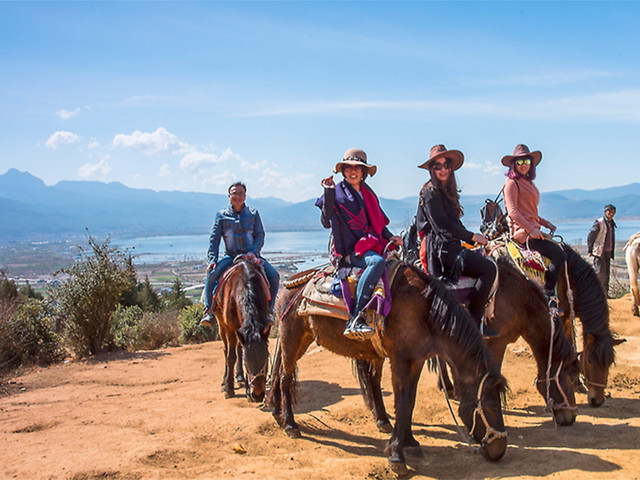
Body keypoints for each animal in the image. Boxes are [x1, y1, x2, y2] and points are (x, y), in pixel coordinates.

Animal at [215, 256, 272, 404]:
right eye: (247, 363)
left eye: (266, 360)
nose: (258, 395)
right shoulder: (230, 329)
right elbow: (231, 357)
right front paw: (229, 389)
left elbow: (240, 352)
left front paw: (247, 390)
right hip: (222, 326)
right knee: (226, 350)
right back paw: (225, 380)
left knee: (239, 349)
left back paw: (240, 377)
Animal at [268, 262, 508, 476]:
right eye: (490, 406)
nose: (499, 450)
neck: (425, 311)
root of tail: (290, 287)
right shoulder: (401, 360)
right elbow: (402, 402)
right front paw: (397, 456)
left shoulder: (416, 360)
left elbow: (410, 401)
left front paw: (409, 440)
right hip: (292, 339)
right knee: (285, 377)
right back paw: (290, 425)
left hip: (302, 340)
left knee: (280, 373)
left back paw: (278, 414)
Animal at [560, 246, 624, 406]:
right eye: (589, 361)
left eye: (610, 363)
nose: (597, 401)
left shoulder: (567, 316)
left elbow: (571, 346)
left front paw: (577, 384)